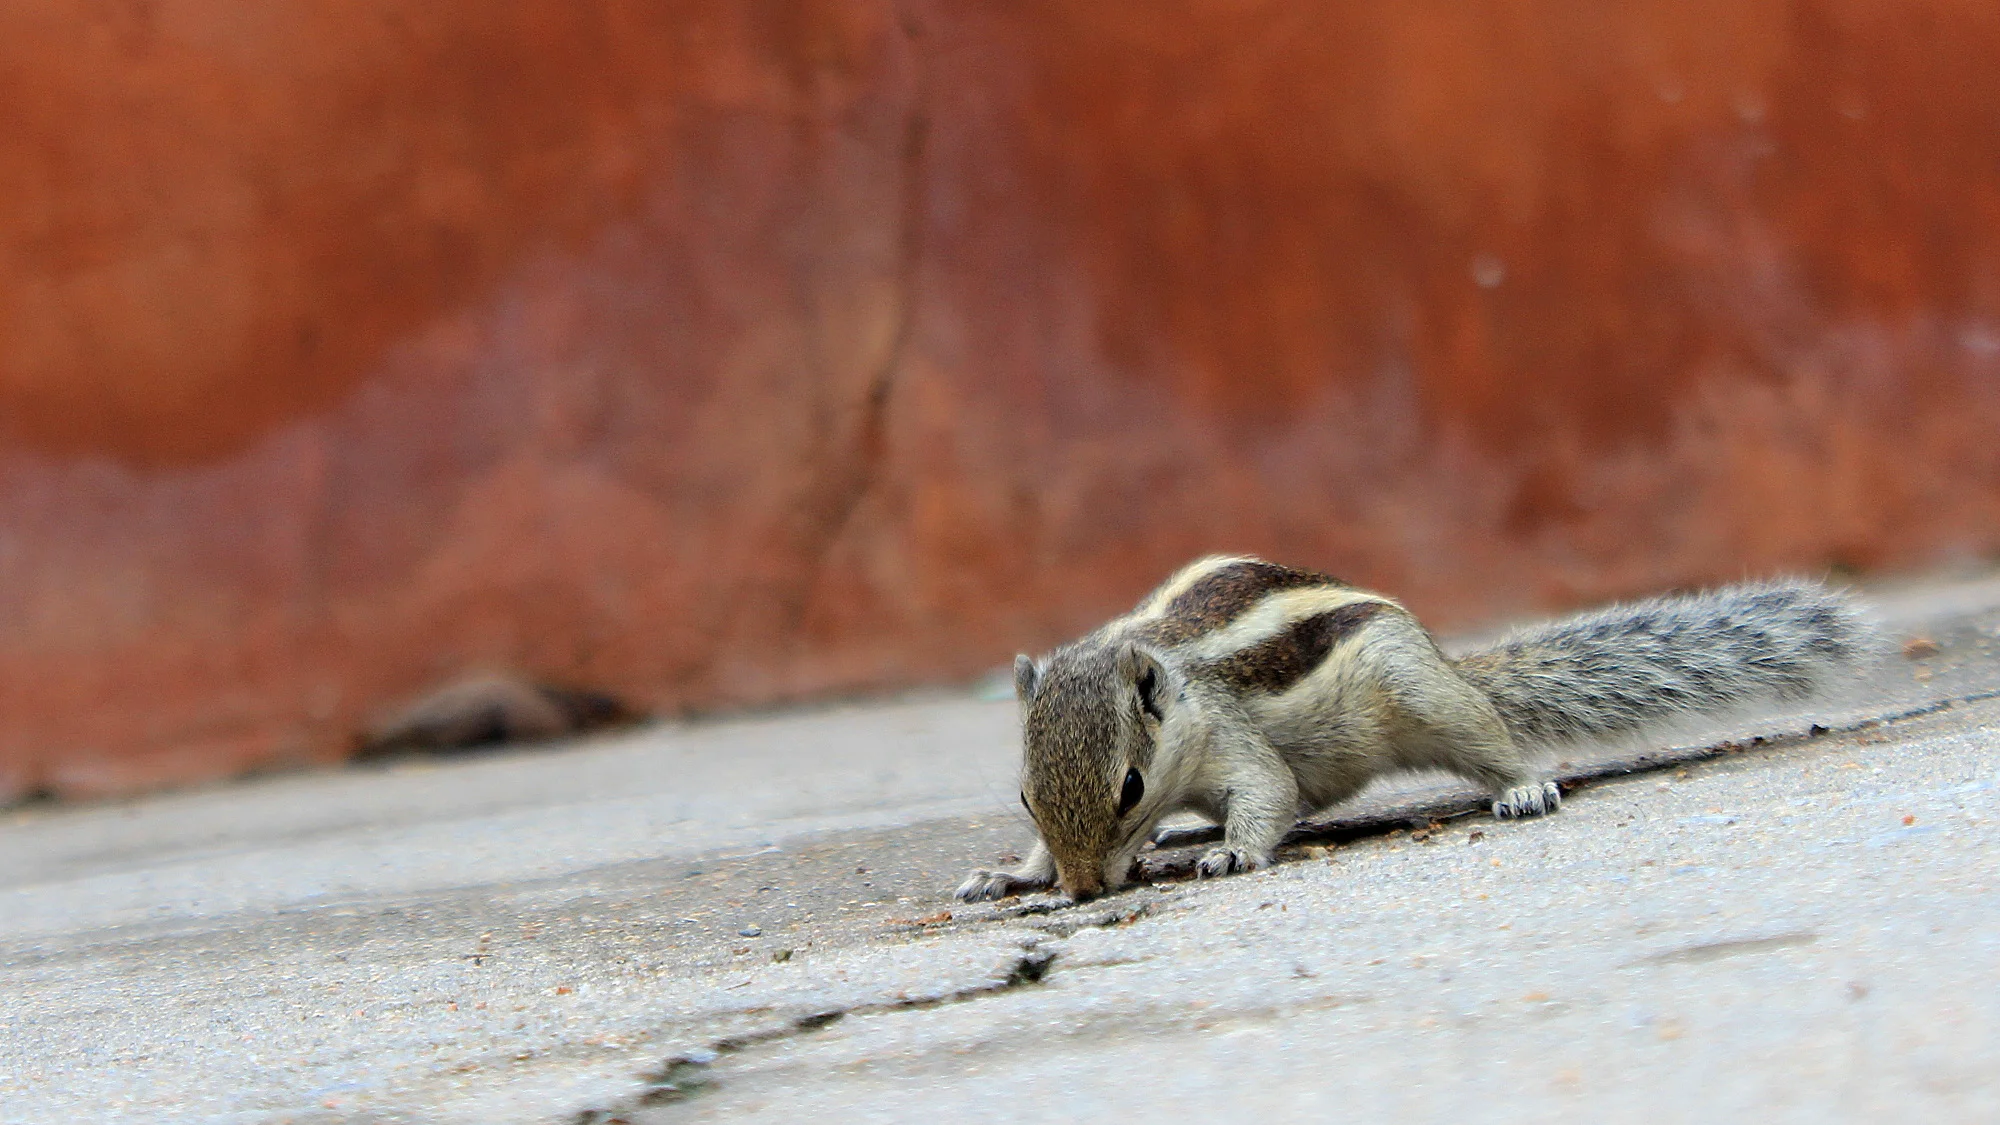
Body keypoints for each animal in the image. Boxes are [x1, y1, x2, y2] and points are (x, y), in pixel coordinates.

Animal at [956, 555, 1878, 903]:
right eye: (1027, 798)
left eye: (1131, 786)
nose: (1082, 891)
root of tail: (1446, 659)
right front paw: (1010, 875)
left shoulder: (1229, 737)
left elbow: (1268, 792)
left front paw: (1233, 852)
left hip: (1421, 692)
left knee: (1491, 738)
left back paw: (1524, 787)